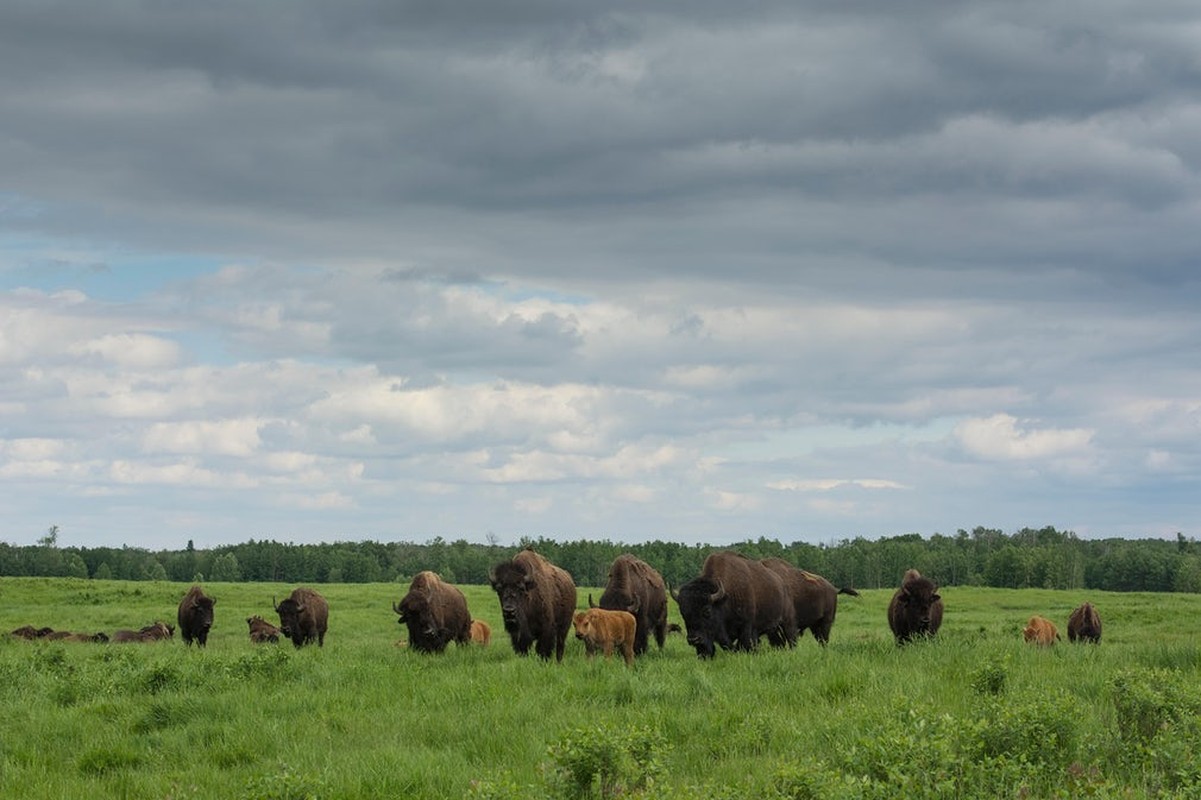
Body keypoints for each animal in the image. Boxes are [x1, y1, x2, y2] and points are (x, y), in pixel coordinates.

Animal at [667, 547, 797, 653]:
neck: (724, 597)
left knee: (791, 638)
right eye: (683, 612)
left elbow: (745, 644)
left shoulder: (747, 628)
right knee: (779, 642)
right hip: (772, 629)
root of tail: (781, 583)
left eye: (707, 611)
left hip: (787, 621)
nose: (694, 639)